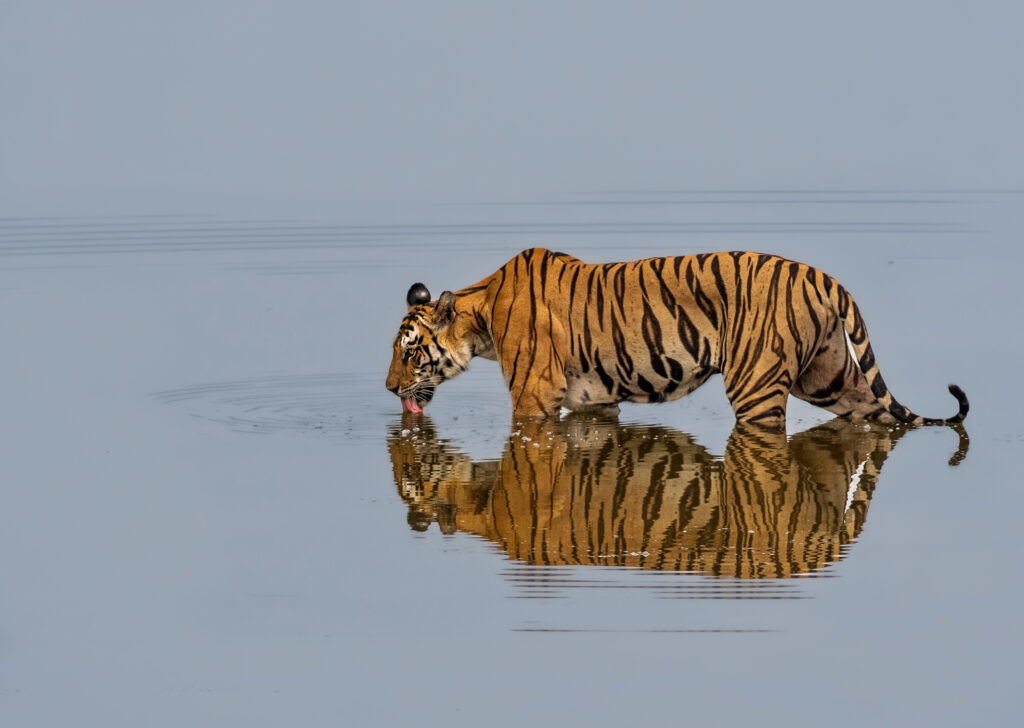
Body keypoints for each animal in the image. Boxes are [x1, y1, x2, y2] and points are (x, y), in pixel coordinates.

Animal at [385, 248, 969, 428]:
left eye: (410, 352)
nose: (390, 390)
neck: (480, 316)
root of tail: (822, 277)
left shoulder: (533, 398)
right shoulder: (593, 400)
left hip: (757, 389)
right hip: (829, 377)